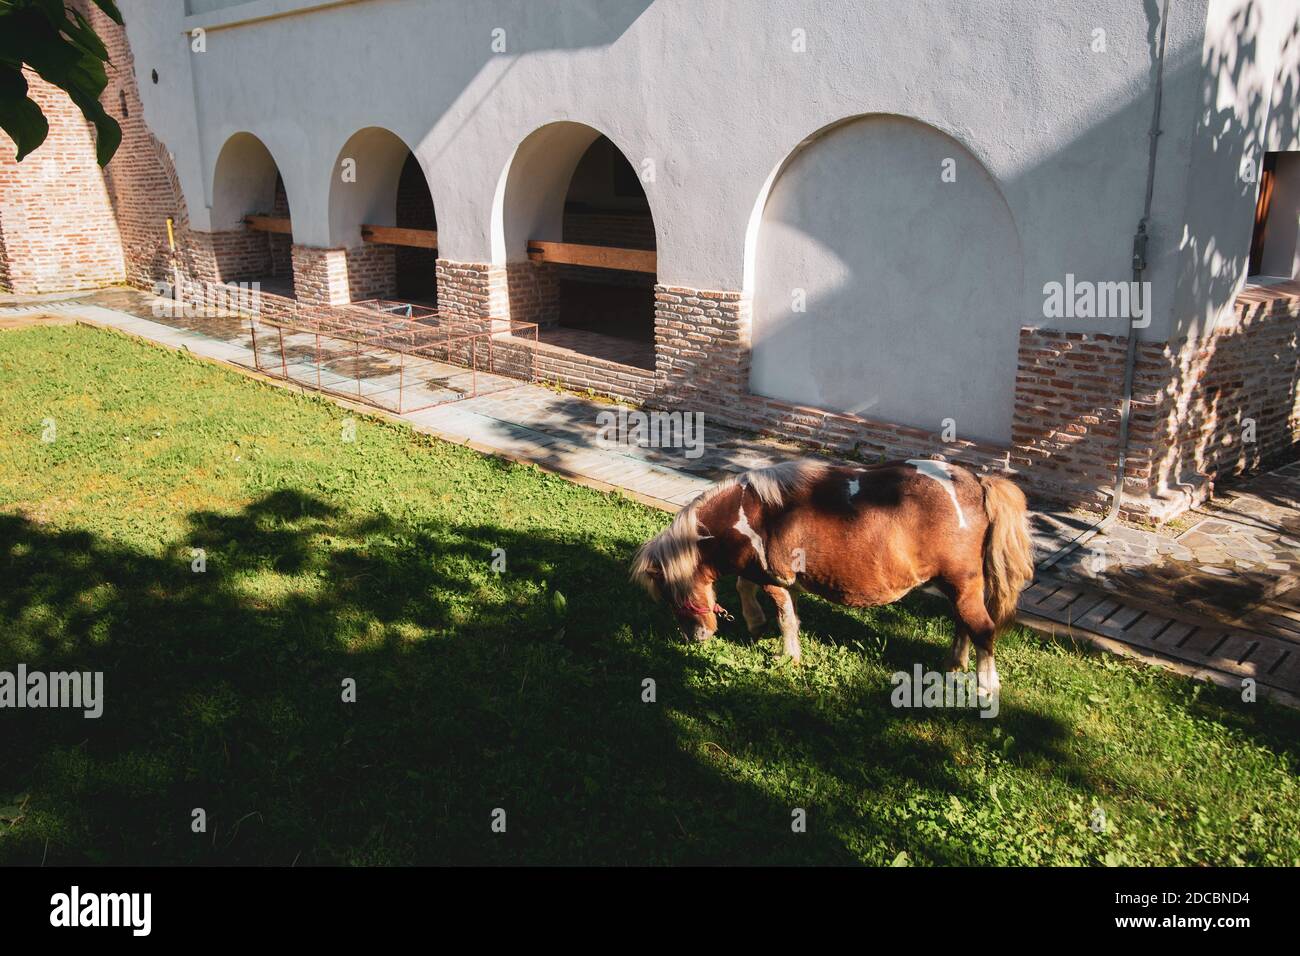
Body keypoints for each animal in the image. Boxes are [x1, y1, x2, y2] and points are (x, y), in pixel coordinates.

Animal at [629, 463, 1034, 697]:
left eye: (672, 596)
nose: (694, 638)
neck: (748, 512)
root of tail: (977, 483)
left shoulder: (777, 579)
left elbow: (786, 618)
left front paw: (788, 658)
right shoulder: (763, 573)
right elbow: (748, 589)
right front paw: (756, 624)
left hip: (963, 584)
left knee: (982, 629)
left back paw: (985, 687)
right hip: (959, 587)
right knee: (964, 625)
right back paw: (954, 664)